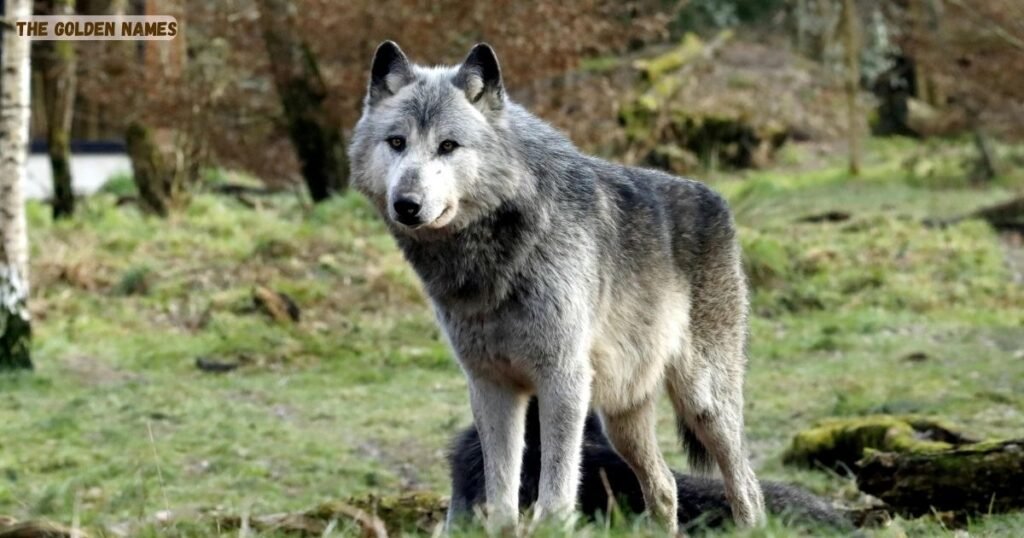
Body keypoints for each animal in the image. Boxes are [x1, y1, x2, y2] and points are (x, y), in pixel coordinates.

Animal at [348, 41, 765, 532]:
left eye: (448, 146)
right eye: (397, 142)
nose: (406, 204)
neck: (496, 259)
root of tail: (716, 196)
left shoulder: (562, 378)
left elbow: (556, 495)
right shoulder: (490, 385)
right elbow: (501, 499)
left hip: (703, 402)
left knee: (747, 487)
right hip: (622, 418)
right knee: (664, 487)